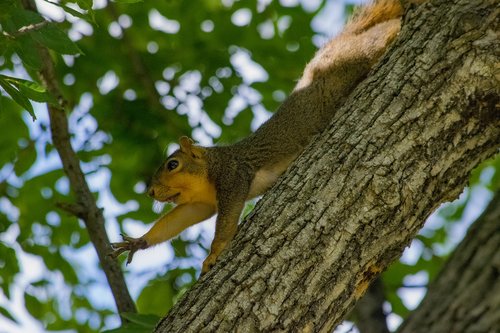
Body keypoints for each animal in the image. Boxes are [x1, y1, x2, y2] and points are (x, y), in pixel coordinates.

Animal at [111, 0, 404, 274]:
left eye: (173, 164)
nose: (150, 192)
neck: (211, 167)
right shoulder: (201, 204)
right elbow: (177, 220)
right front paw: (138, 242)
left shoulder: (233, 177)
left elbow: (225, 223)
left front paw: (213, 255)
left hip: (354, 57)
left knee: (381, 36)